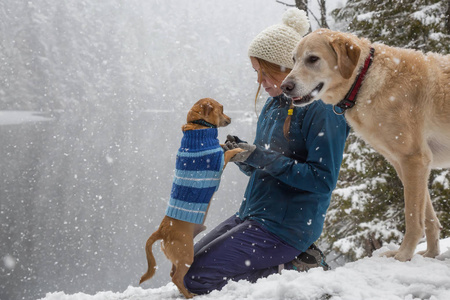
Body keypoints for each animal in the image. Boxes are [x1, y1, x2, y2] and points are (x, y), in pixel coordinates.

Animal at [140, 98, 243, 298]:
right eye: (222, 109)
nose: (230, 119)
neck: (198, 126)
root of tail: (162, 230)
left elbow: (222, 147)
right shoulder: (218, 164)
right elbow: (226, 153)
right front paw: (238, 148)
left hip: (180, 256)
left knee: (173, 274)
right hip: (187, 255)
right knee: (176, 277)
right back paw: (189, 295)